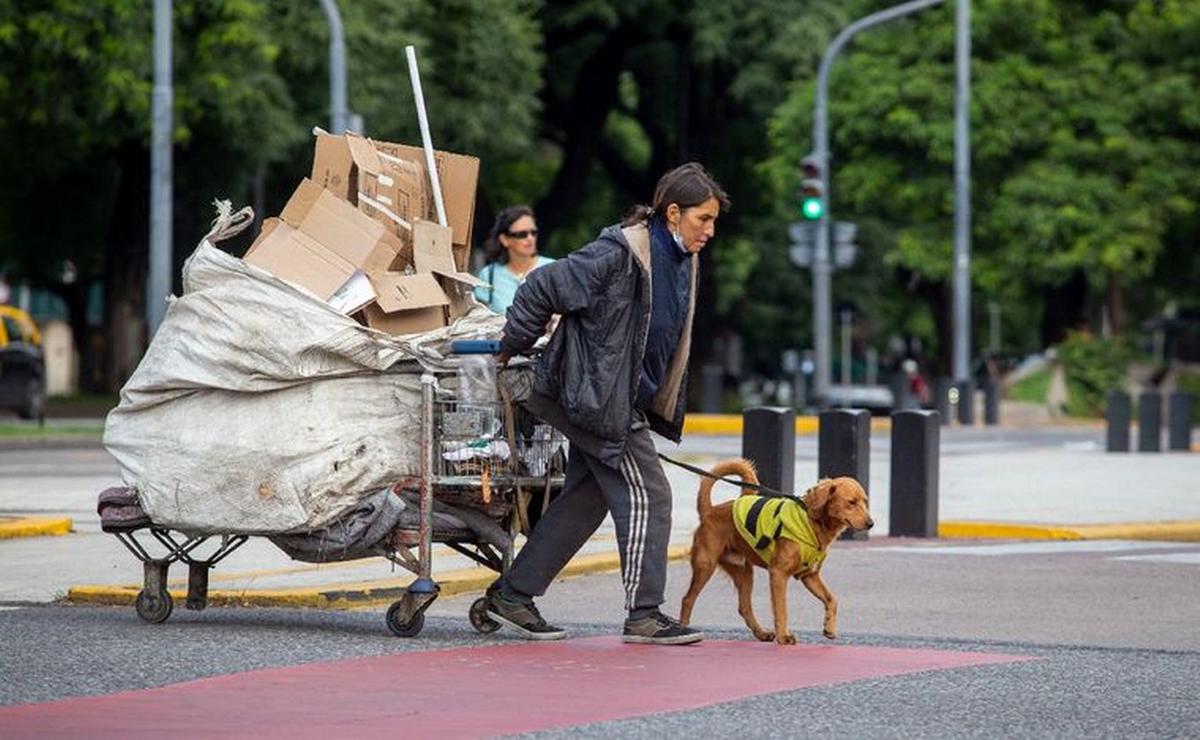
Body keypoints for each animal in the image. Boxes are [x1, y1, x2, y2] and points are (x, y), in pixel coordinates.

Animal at [686, 458, 873, 642]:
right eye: (851, 502)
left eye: (865, 501)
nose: (871, 523)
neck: (812, 522)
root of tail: (709, 511)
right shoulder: (778, 574)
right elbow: (781, 609)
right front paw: (783, 636)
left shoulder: (810, 576)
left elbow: (832, 599)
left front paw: (829, 627)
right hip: (705, 566)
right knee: (687, 599)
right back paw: (684, 628)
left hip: (744, 573)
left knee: (744, 607)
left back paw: (761, 633)